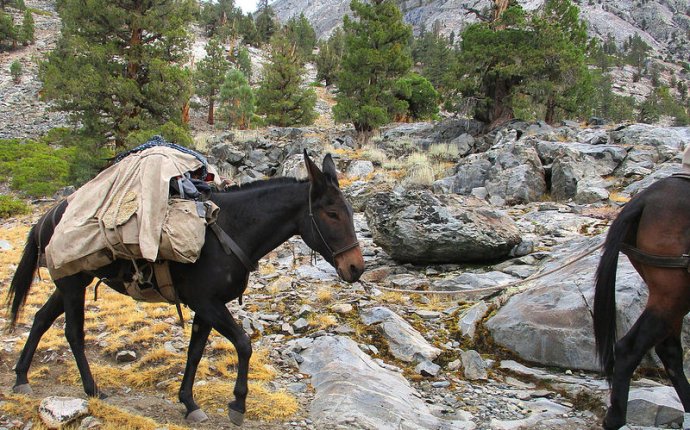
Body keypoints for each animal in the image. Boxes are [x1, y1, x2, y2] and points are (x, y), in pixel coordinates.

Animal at [5, 152, 366, 426]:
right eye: (332, 213)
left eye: (349, 212)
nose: (356, 268)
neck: (229, 229)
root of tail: (47, 216)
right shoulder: (207, 303)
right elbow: (243, 344)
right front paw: (237, 405)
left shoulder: (208, 307)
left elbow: (195, 353)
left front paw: (189, 403)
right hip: (72, 283)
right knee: (73, 333)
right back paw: (92, 389)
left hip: (70, 283)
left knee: (40, 319)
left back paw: (21, 378)